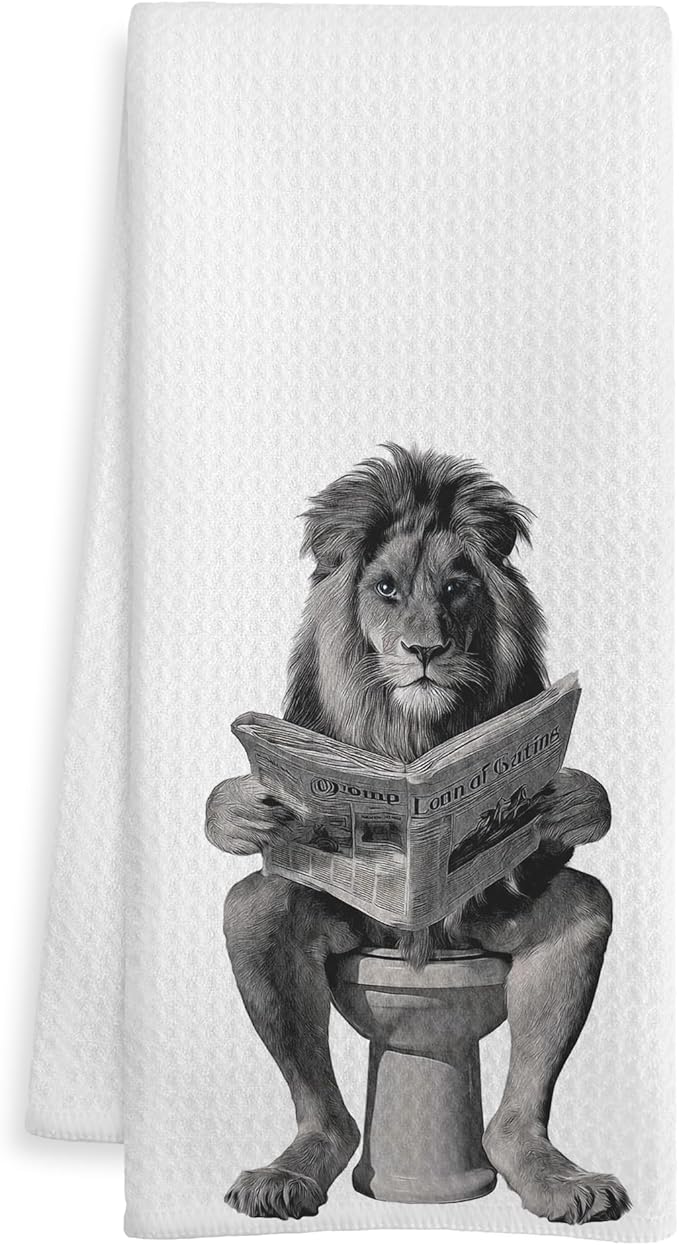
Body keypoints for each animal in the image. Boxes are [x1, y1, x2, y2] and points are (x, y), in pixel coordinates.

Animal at [206, 445, 630, 1225]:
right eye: (385, 589)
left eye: (457, 589)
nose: (424, 649)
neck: (415, 730)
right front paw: (244, 808)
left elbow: (560, 835)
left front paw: (573, 799)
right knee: (257, 909)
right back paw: (291, 1173)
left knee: (581, 908)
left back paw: (556, 1178)